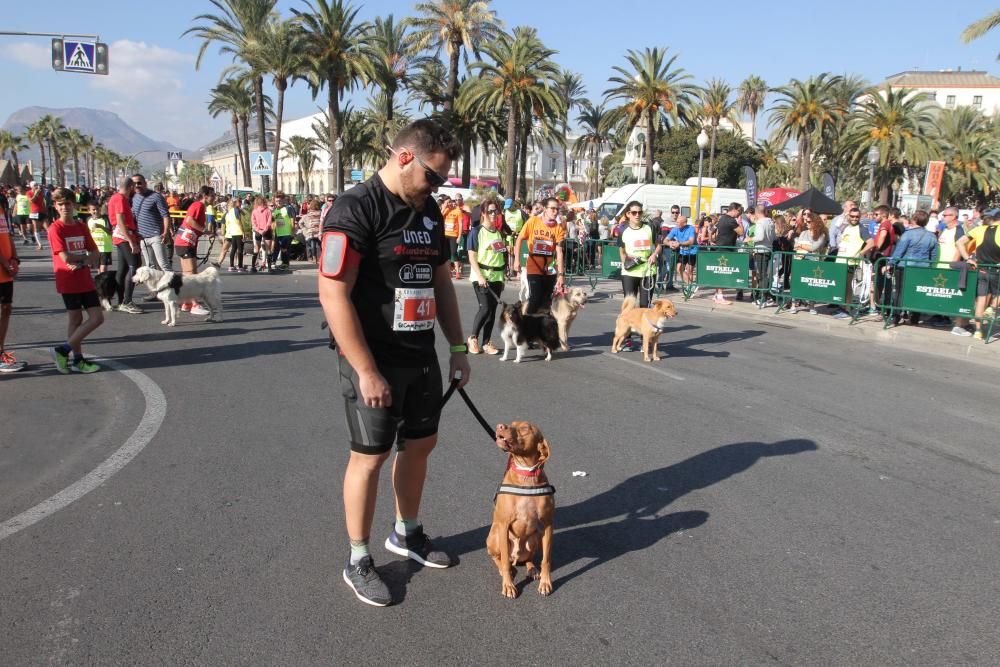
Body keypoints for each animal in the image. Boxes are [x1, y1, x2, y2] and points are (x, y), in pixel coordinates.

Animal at [490, 422, 560, 600]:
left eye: (525, 428)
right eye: (511, 423)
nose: (500, 426)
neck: (526, 475)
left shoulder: (548, 526)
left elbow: (546, 560)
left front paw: (545, 582)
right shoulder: (503, 525)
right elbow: (505, 563)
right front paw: (508, 586)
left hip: (535, 538)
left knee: (528, 558)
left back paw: (532, 568)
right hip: (495, 536)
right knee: (499, 557)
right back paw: (503, 569)